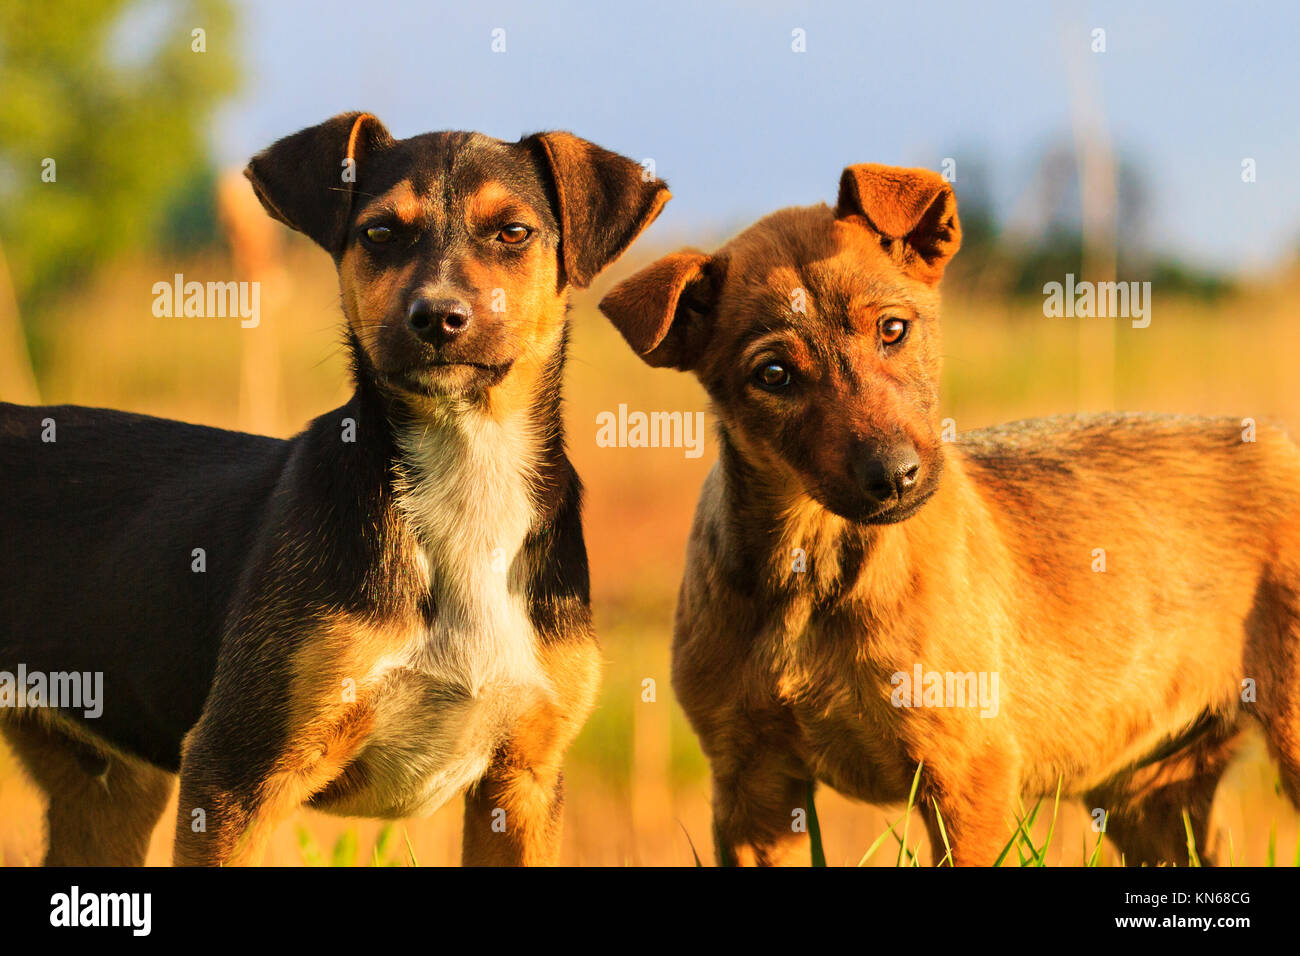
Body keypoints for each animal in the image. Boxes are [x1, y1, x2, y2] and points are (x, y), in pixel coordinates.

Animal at [0, 111, 670, 868]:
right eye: (379, 233)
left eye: (513, 232)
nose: (438, 317)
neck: (466, 467)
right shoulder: (236, 770)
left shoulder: (523, 779)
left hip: (108, 786)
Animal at [595, 162, 1300, 868]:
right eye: (773, 375)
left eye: (893, 330)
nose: (896, 476)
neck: (815, 564)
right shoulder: (752, 785)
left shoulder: (967, 777)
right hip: (1153, 794)